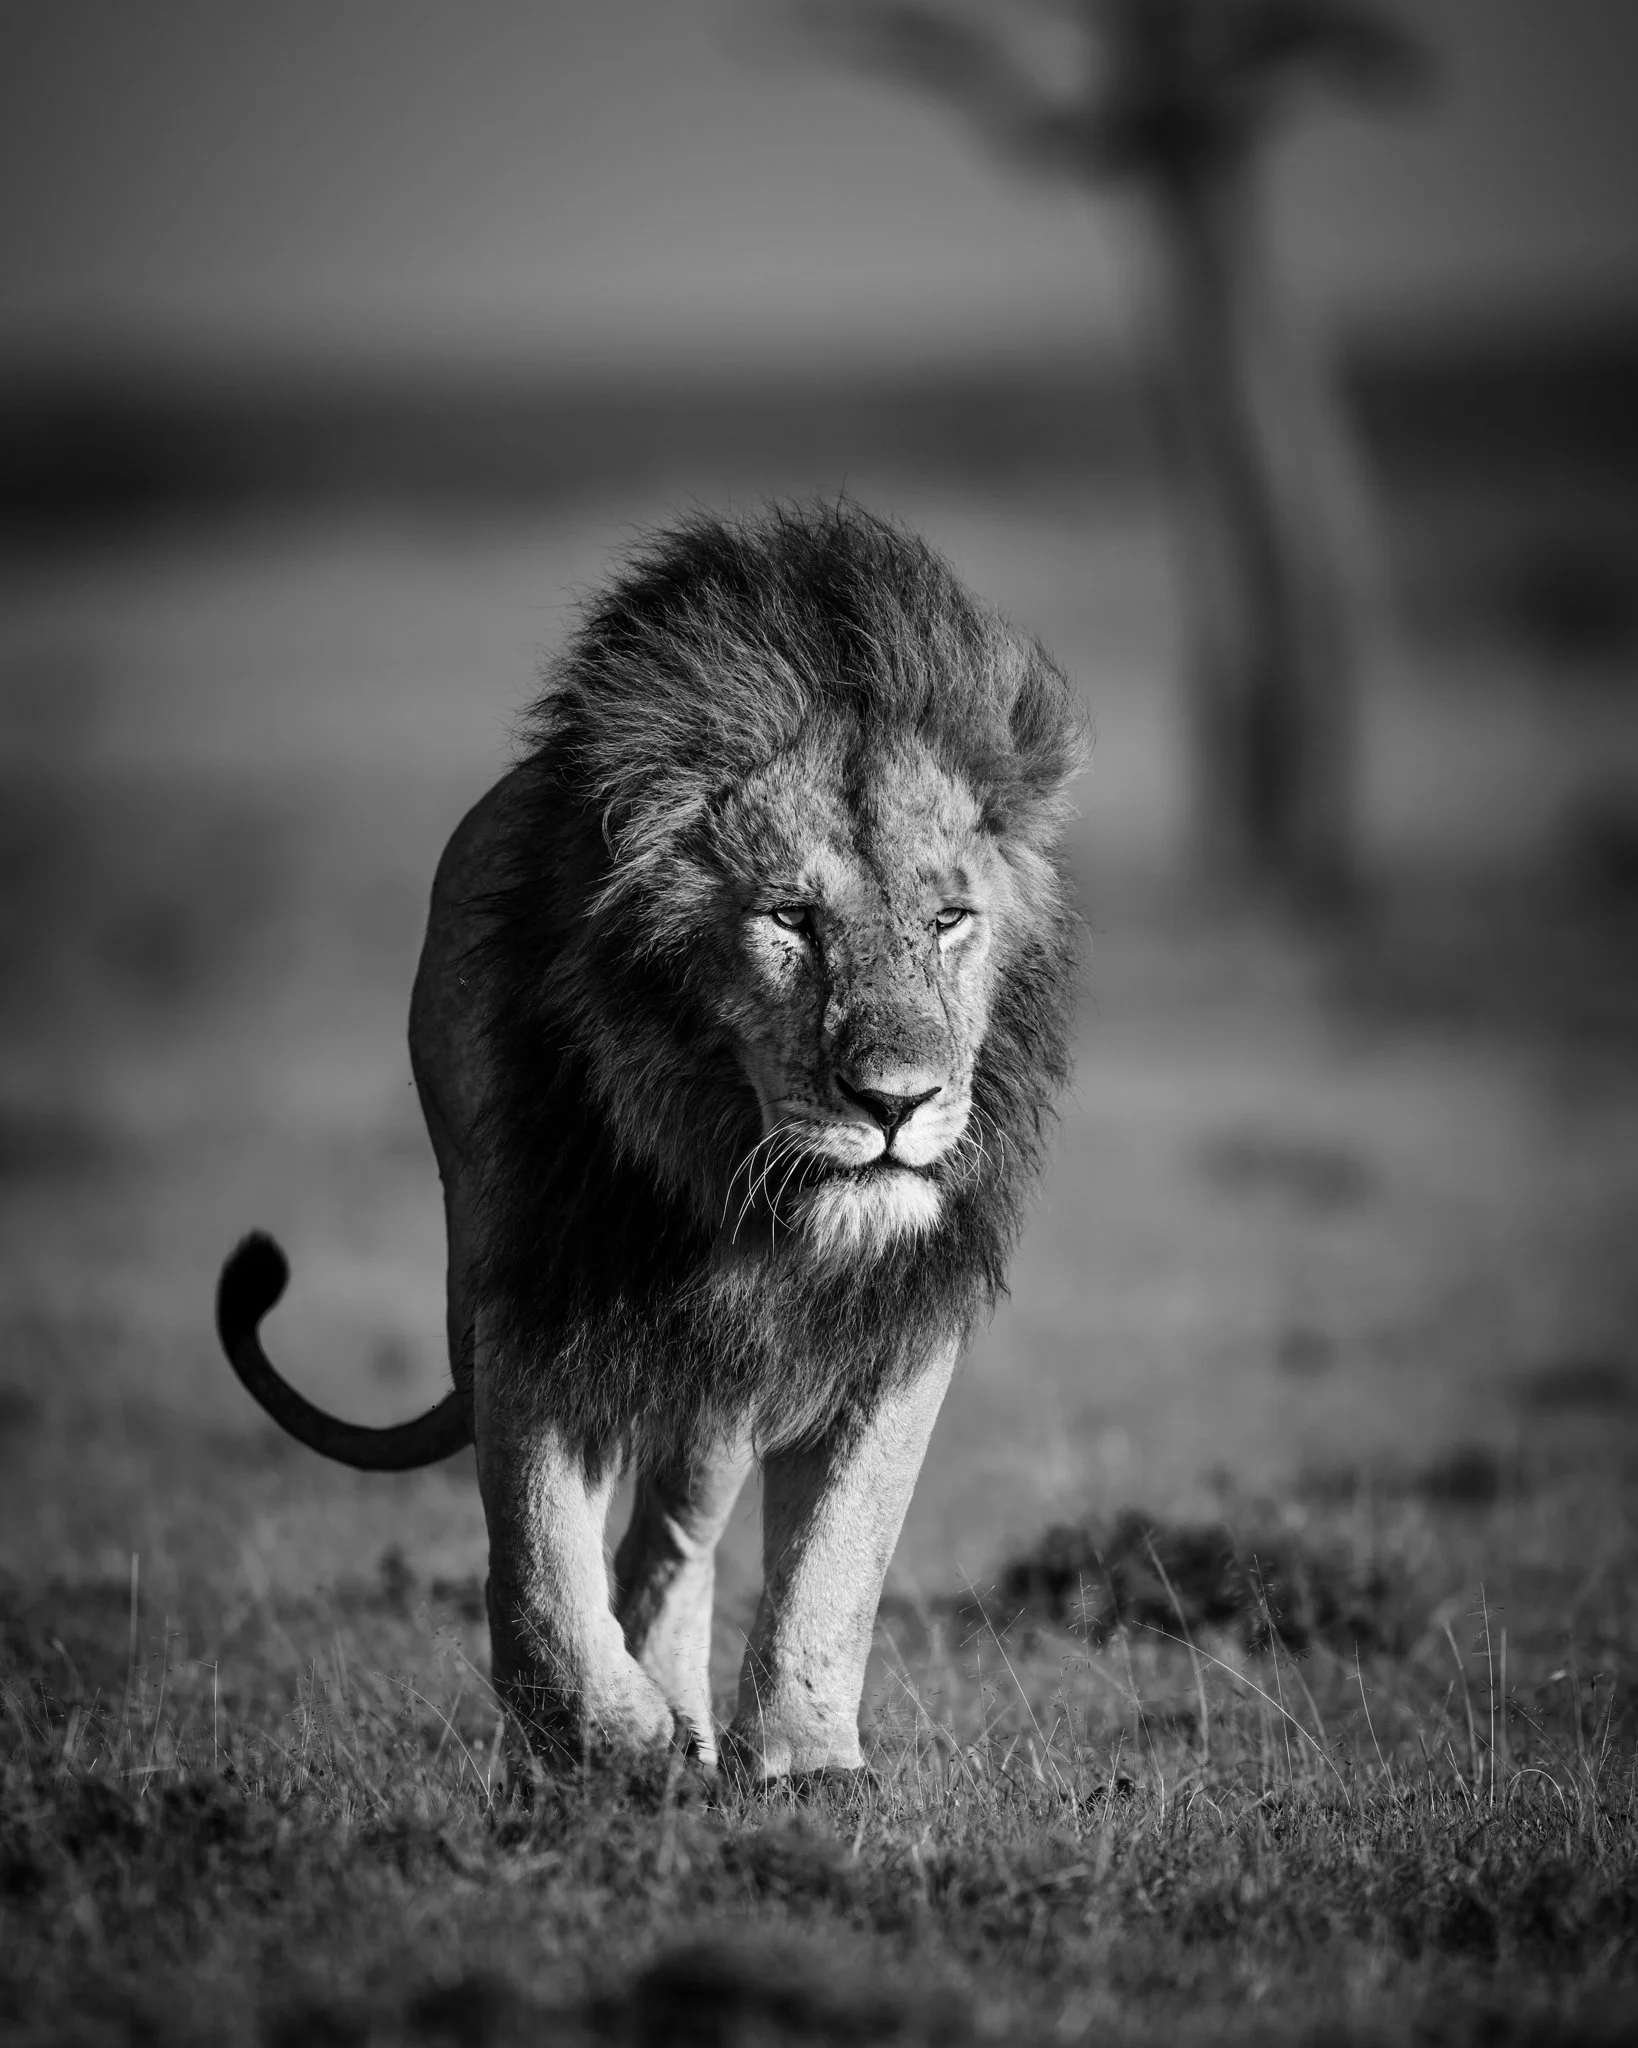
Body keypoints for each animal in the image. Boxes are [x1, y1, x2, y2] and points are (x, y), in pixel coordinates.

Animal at [216, 503, 1084, 1780]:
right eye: (789, 917)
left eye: (948, 919)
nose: (896, 1101)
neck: (742, 1193)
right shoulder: (530, 1284)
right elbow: (534, 1545)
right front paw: (597, 1730)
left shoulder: (900, 1319)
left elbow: (841, 1553)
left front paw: (801, 1755)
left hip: (715, 1397)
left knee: (669, 1545)